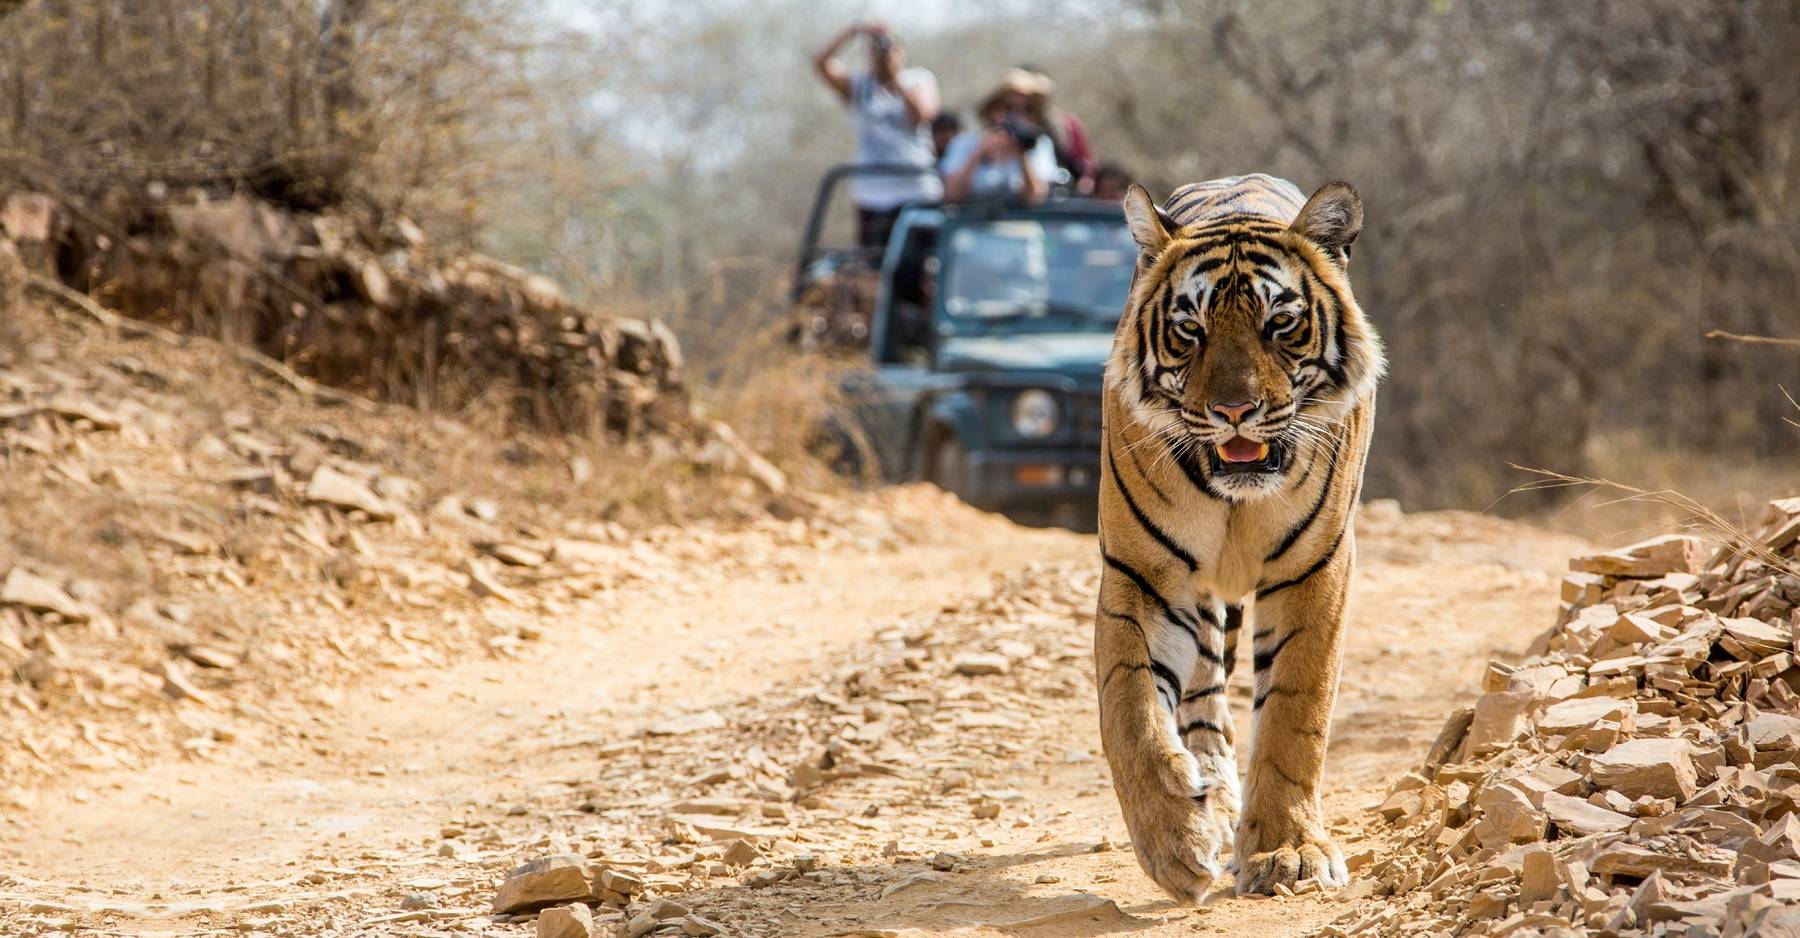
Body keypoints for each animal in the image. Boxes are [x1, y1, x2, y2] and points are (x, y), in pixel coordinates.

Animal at [1087, 175, 1382, 900]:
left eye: (1280, 324)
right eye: (1190, 331)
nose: (1234, 411)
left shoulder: (1316, 568)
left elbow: (1294, 716)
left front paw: (1288, 853)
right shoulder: (1142, 574)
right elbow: (1130, 710)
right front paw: (1174, 841)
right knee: (1203, 697)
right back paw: (1211, 799)